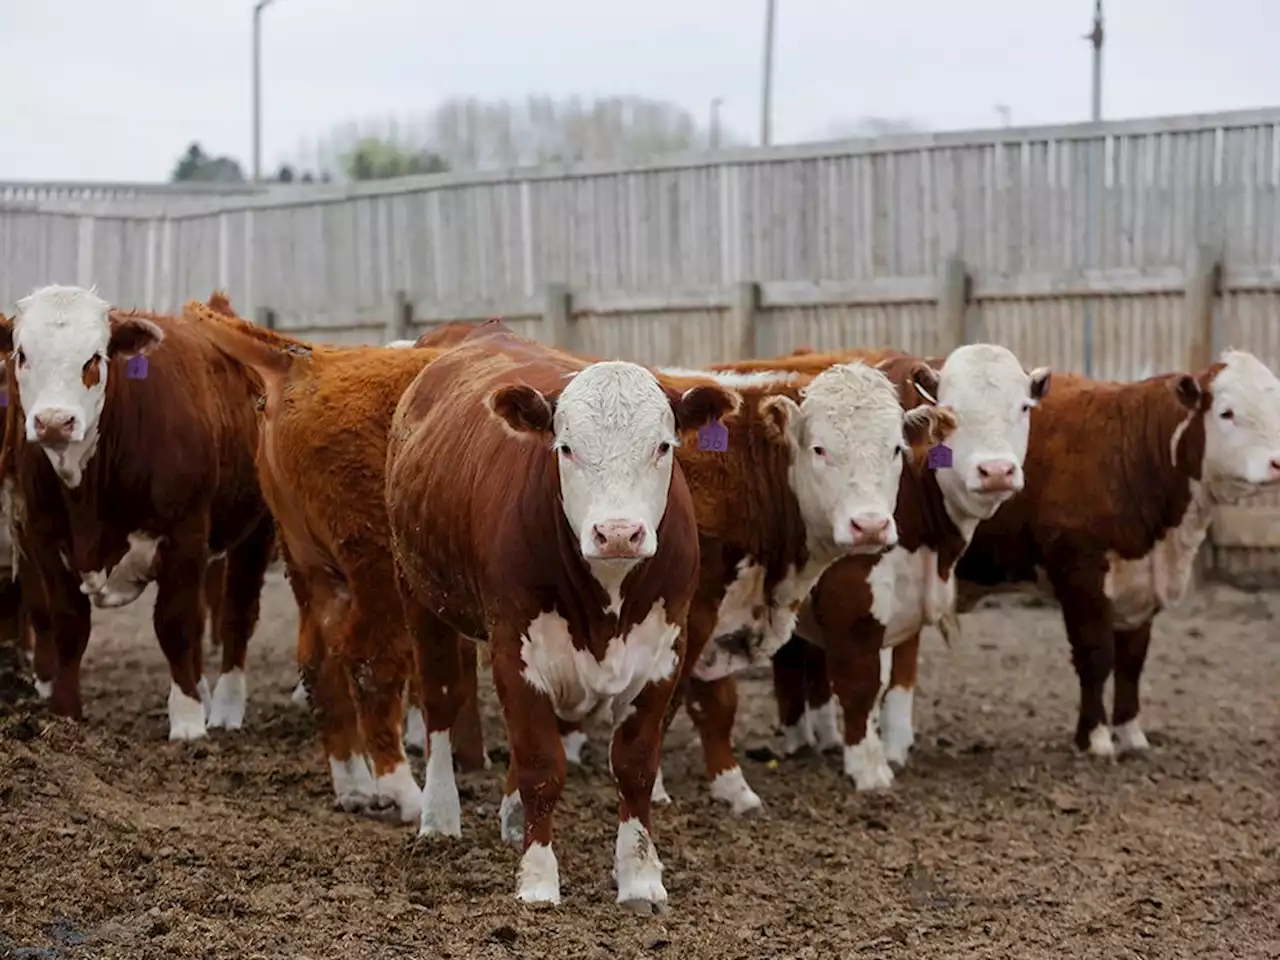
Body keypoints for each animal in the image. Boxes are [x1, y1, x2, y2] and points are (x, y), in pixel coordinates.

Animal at [0, 284, 275, 737]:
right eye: (22, 355)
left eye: (94, 357)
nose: (54, 421)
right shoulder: (43, 538)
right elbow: (68, 624)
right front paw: (65, 712)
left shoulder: (184, 531)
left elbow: (175, 624)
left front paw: (187, 720)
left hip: (258, 529)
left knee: (238, 613)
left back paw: (225, 707)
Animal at [384, 330, 737, 911]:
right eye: (566, 448)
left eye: (663, 446)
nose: (617, 533)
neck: (606, 599)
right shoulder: (513, 649)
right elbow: (541, 765)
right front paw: (538, 880)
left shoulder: (664, 653)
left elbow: (635, 766)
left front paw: (640, 878)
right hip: (418, 594)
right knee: (439, 705)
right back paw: (439, 817)